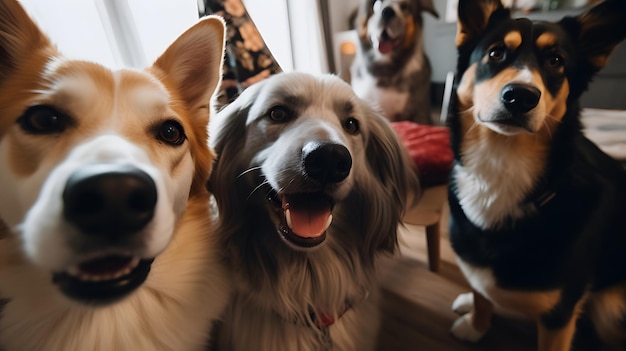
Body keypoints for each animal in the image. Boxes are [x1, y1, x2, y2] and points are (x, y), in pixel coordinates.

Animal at [446, 0, 624, 351]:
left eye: (556, 61)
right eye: (496, 53)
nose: (521, 96)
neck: (501, 161)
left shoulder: (559, 316)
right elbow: (481, 293)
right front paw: (476, 325)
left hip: (611, 311)